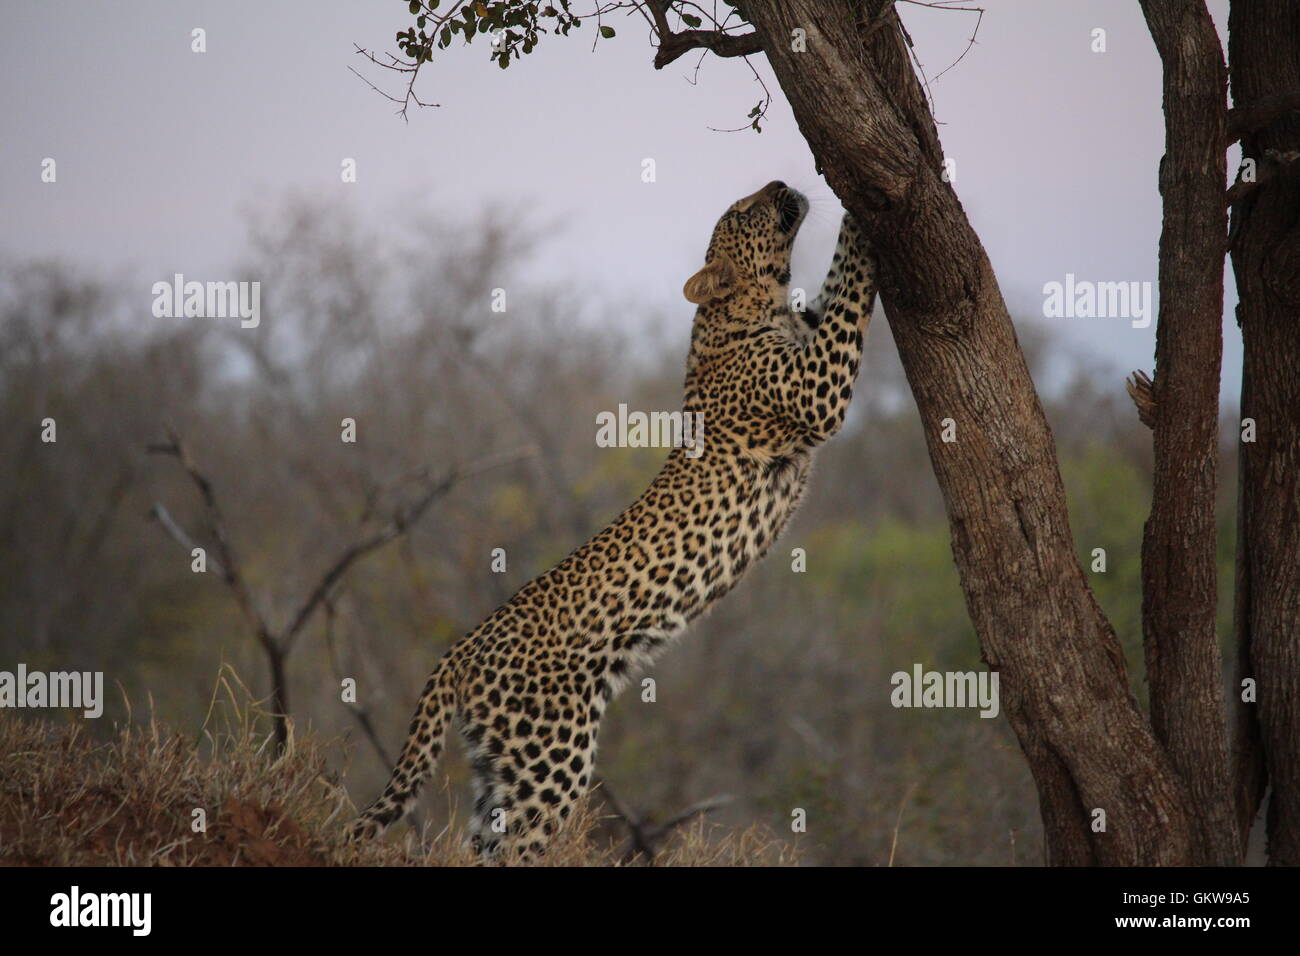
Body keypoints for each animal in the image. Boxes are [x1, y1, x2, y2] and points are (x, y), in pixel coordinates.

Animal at [347, 180, 879, 858]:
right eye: (743, 211)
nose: (782, 183)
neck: (746, 310)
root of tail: (458, 653)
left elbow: (835, 286)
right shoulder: (818, 389)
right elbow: (850, 292)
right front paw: (865, 219)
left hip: (502, 771)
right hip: (549, 761)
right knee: (517, 846)